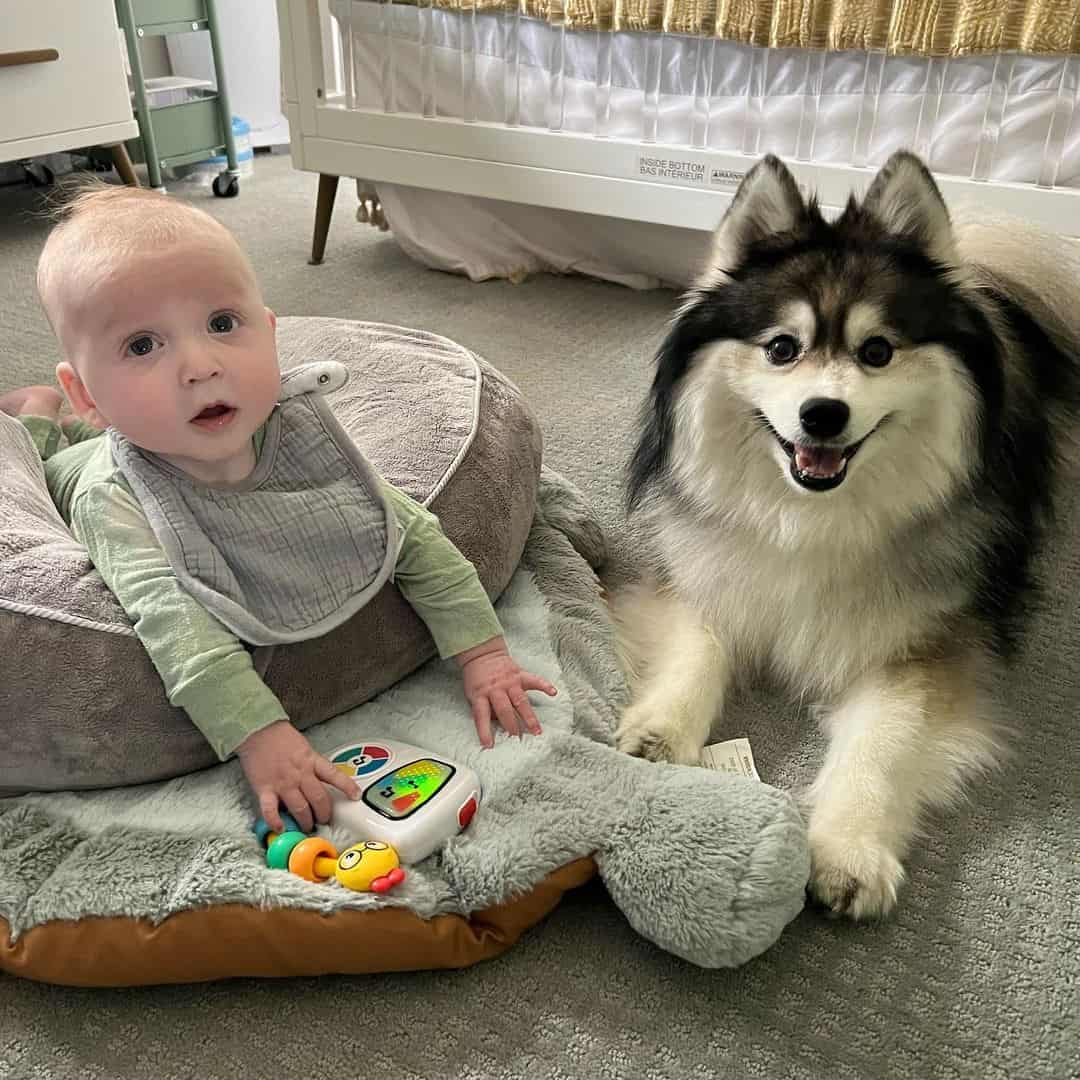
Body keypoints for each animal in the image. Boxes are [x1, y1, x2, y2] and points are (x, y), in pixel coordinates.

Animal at [617, 152, 1080, 920]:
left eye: (878, 351)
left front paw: (848, 849)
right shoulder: (706, 574)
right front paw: (662, 730)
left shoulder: (923, 647)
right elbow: (699, 649)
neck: (810, 517)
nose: (823, 414)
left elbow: (881, 743)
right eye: (782, 348)